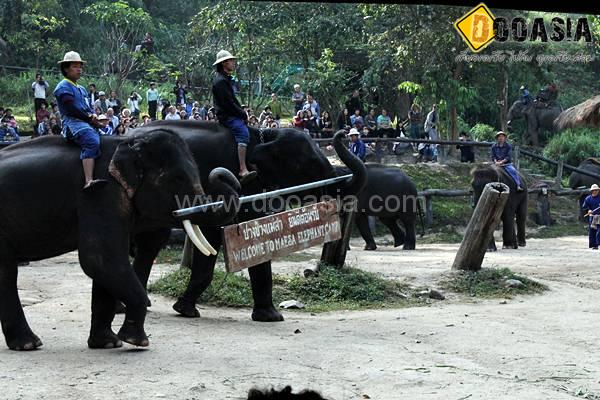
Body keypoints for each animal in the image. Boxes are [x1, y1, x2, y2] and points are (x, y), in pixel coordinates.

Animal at [0, 131, 239, 350]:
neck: (127, 143)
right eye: (177, 178)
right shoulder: (99, 194)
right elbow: (100, 260)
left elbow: (105, 266)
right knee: (8, 274)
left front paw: (108, 343)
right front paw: (136, 341)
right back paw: (29, 344)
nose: (219, 174)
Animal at [129, 120, 368, 320]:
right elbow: (221, 235)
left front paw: (269, 317)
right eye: (307, 166)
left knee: (152, 241)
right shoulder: (237, 186)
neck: (266, 135)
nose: (344, 132)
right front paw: (186, 310)